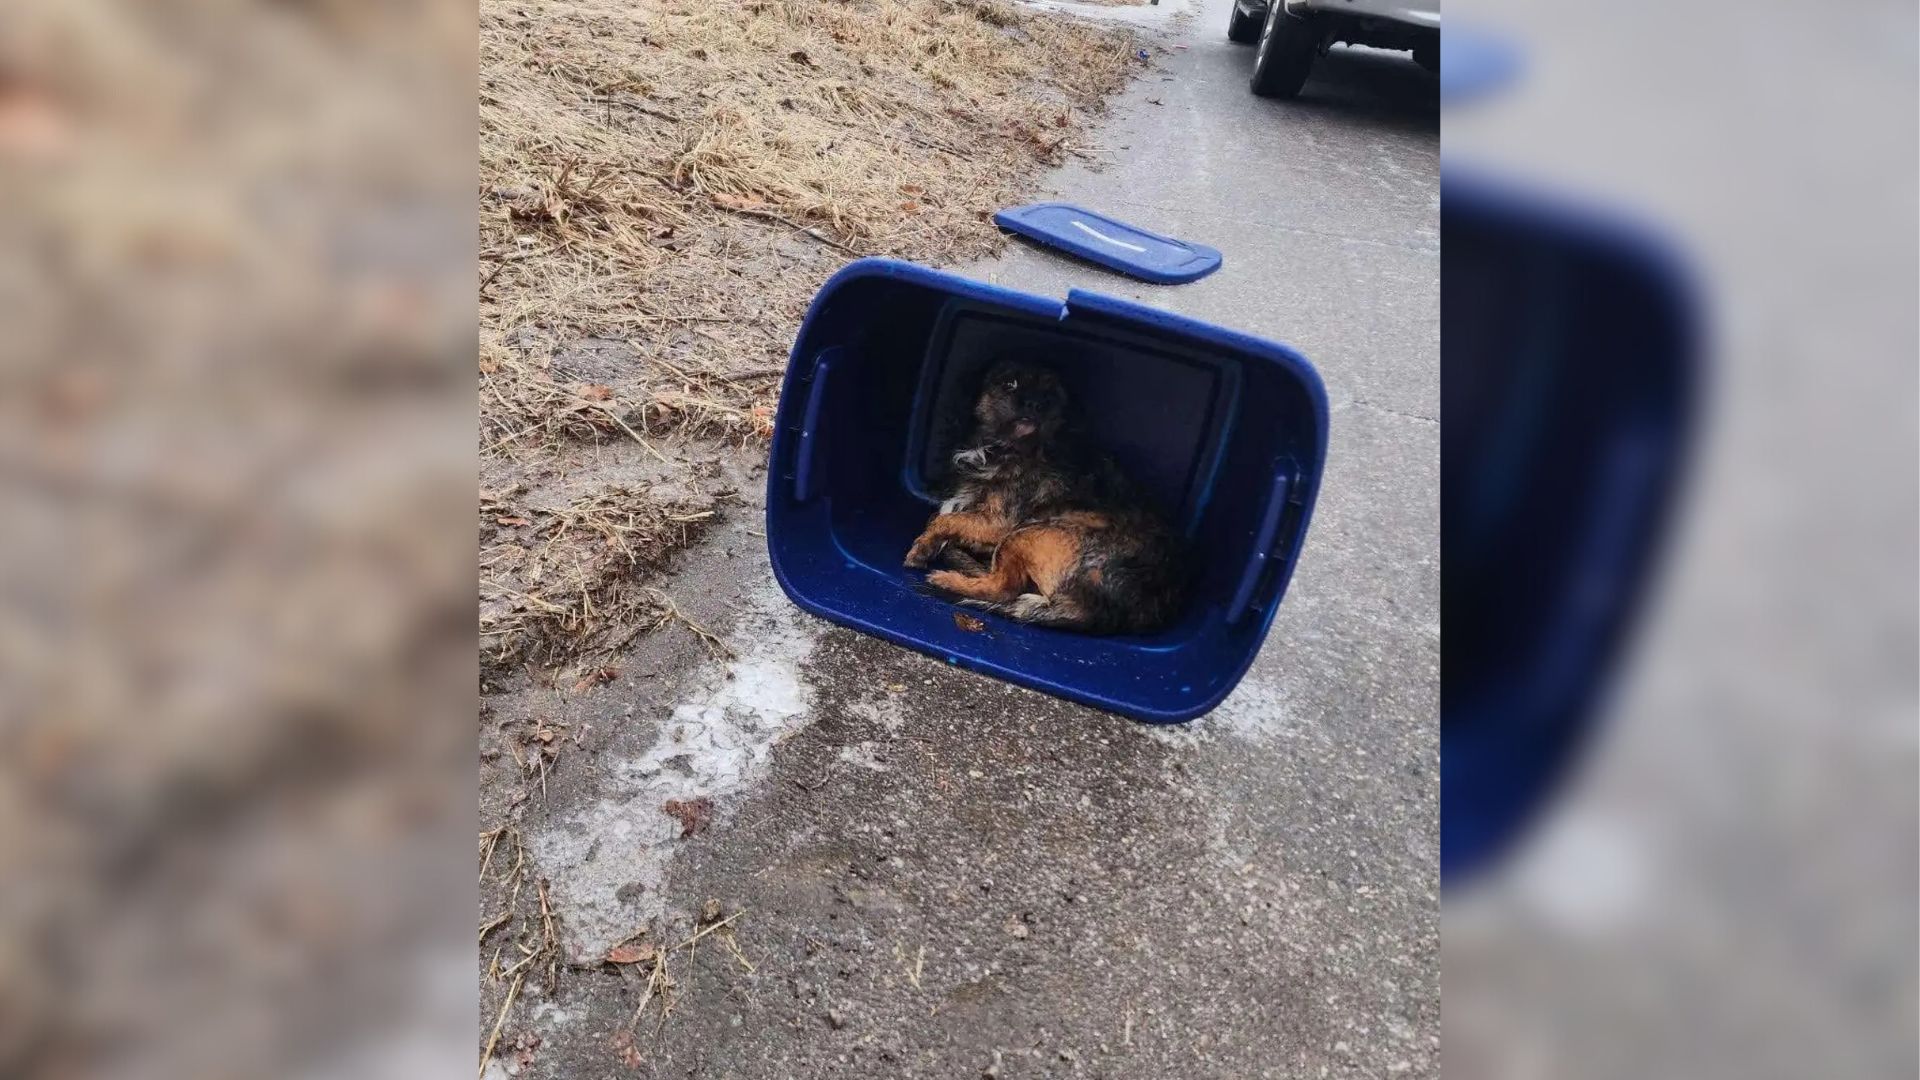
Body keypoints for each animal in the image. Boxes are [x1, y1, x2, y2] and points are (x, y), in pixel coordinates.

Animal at [902, 359, 1182, 630]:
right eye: (1009, 383)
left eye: (1050, 395)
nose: (1035, 404)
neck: (1007, 448)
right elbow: (942, 518)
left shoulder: (999, 523)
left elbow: (943, 520)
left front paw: (922, 548)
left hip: (1027, 533)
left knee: (1003, 588)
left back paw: (946, 579)